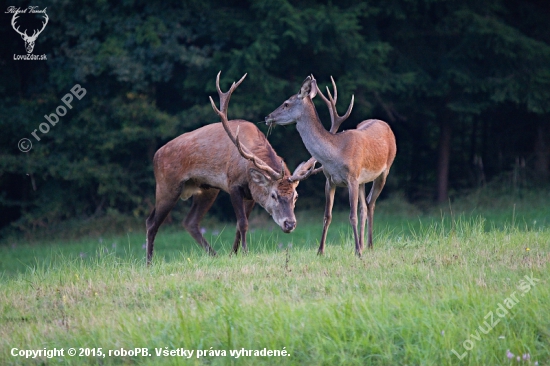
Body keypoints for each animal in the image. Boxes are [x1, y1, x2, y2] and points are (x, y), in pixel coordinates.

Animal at [147, 73, 316, 264]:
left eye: (296, 196)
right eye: (274, 195)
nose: (290, 224)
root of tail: (156, 155)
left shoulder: (251, 194)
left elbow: (238, 224)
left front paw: (232, 254)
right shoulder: (233, 184)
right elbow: (242, 222)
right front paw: (245, 252)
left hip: (206, 189)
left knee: (189, 221)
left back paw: (214, 255)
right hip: (167, 185)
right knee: (152, 222)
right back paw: (149, 262)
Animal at [266, 76, 396, 256]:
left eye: (286, 103)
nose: (267, 116)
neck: (336, 154)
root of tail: (386, 124)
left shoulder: (352, 178)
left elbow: (352, 215)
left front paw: (357, 252)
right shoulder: (329, 180)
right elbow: (327, 216)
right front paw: (320, 251)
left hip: (385, 171)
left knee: (371, 204)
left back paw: (368, 246)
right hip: (363, 181)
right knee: (364, 206)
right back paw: (364, 244)